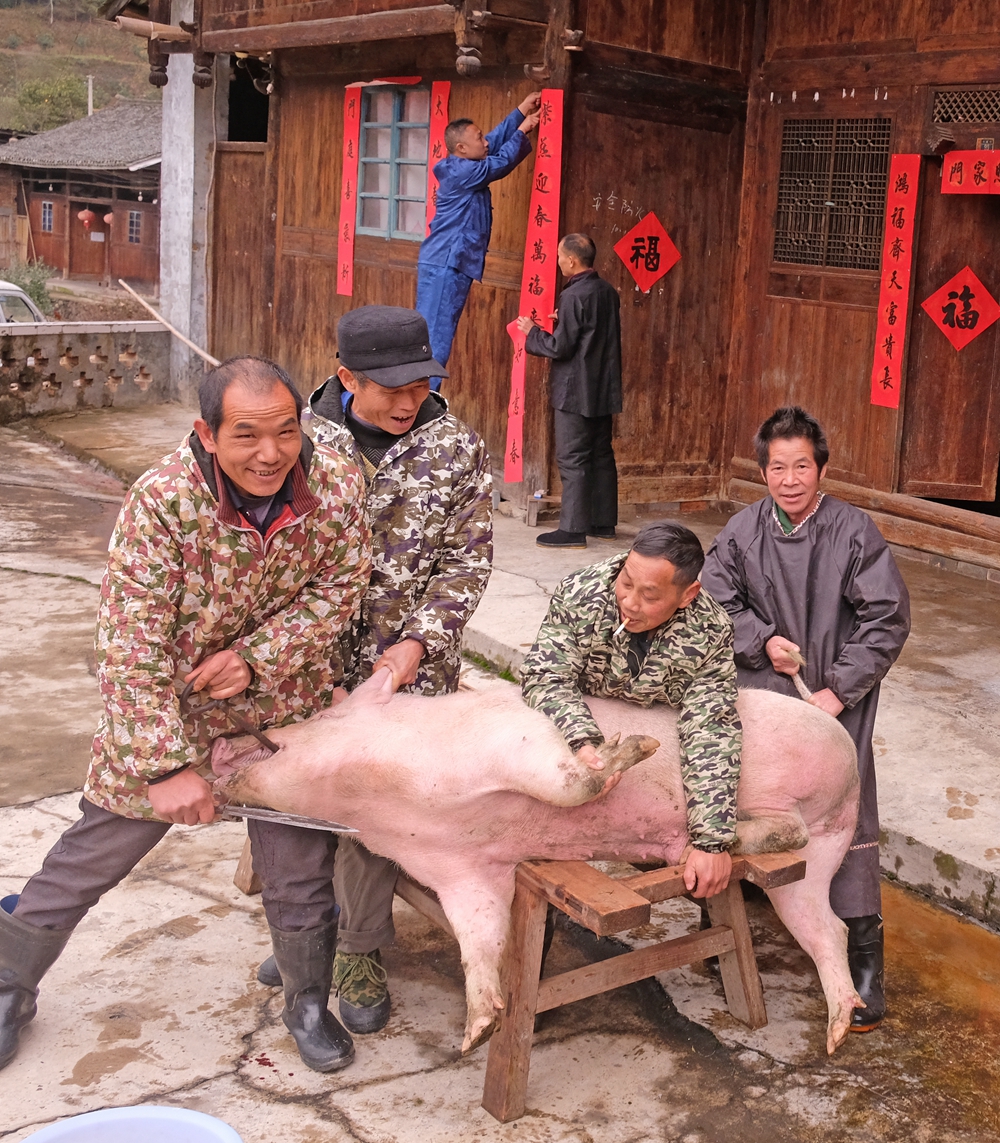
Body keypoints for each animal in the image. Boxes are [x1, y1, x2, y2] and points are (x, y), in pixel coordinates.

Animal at [212, 672, 859, 1056]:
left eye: (321, 714)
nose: (222, 740)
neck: (386, 795)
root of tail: (848, 747)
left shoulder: (514, 741)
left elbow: (574, 784)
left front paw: (635, 748)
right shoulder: (462, 868)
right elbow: (479, 938)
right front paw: (475, 1035)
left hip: (817, 821)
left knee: (796, 853)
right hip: (820, 855)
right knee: (828, 924)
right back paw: (836, 1033)